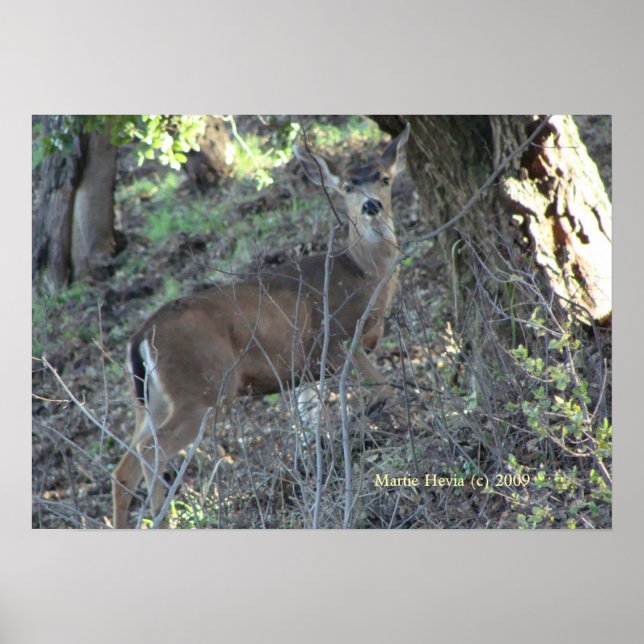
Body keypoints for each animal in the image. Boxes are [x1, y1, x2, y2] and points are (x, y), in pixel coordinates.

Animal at [112, 122, 411, 528]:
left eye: (384, 178)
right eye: (347, 186)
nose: (371, 205)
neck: (363, 275)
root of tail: (141, 337)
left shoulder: (306, 370)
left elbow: (309, 424)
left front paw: (313, 473)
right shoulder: (335, 338)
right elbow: (385, 389)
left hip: (150, 400)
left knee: (122, 468)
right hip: (201, 388)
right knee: (150, 449)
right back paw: (163, 514)